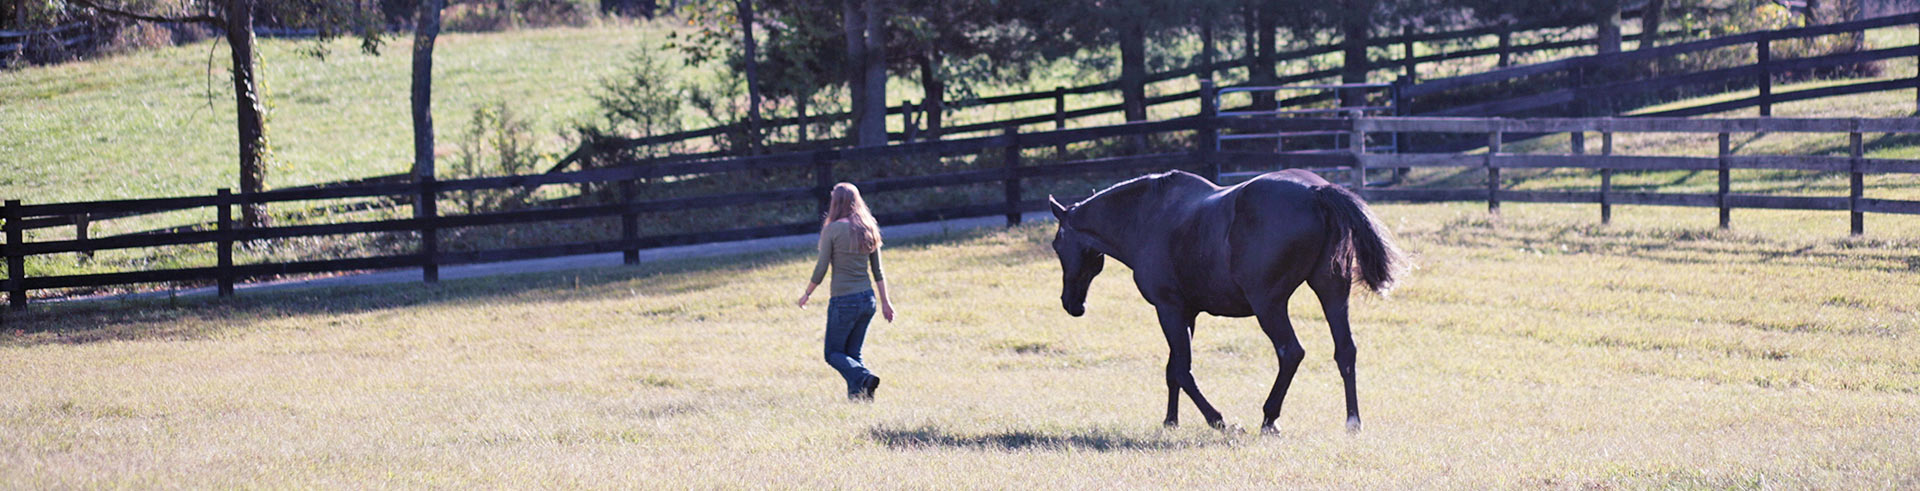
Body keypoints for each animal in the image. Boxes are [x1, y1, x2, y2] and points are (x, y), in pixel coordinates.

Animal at [1059, 168, 1405, 433]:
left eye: (1057, 244)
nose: (1071, 304)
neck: (1148, 217)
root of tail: (1316, 191)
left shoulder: (1168, 309)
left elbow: (1182, 370)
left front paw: (1218, 420)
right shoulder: (1186, 313)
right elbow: (1173, 369)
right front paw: (1171, 421)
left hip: (1269, 305)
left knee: (1291, 352)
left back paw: (1269, 417)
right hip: (1332, 292)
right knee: (1345, 350)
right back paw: (1352, 421)